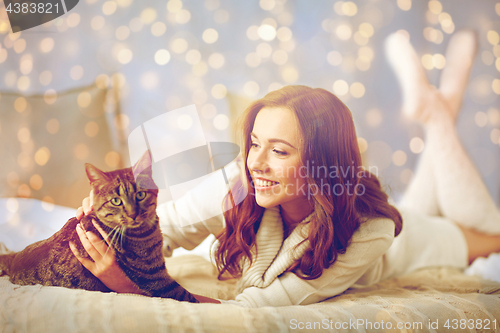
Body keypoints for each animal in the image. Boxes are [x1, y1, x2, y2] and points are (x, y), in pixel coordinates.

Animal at [0, 152, 198, 302]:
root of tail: (13, 260)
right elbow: (188, 296)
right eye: (116, 201)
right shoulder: (155, 277)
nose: (133, 214)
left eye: (140, 195)